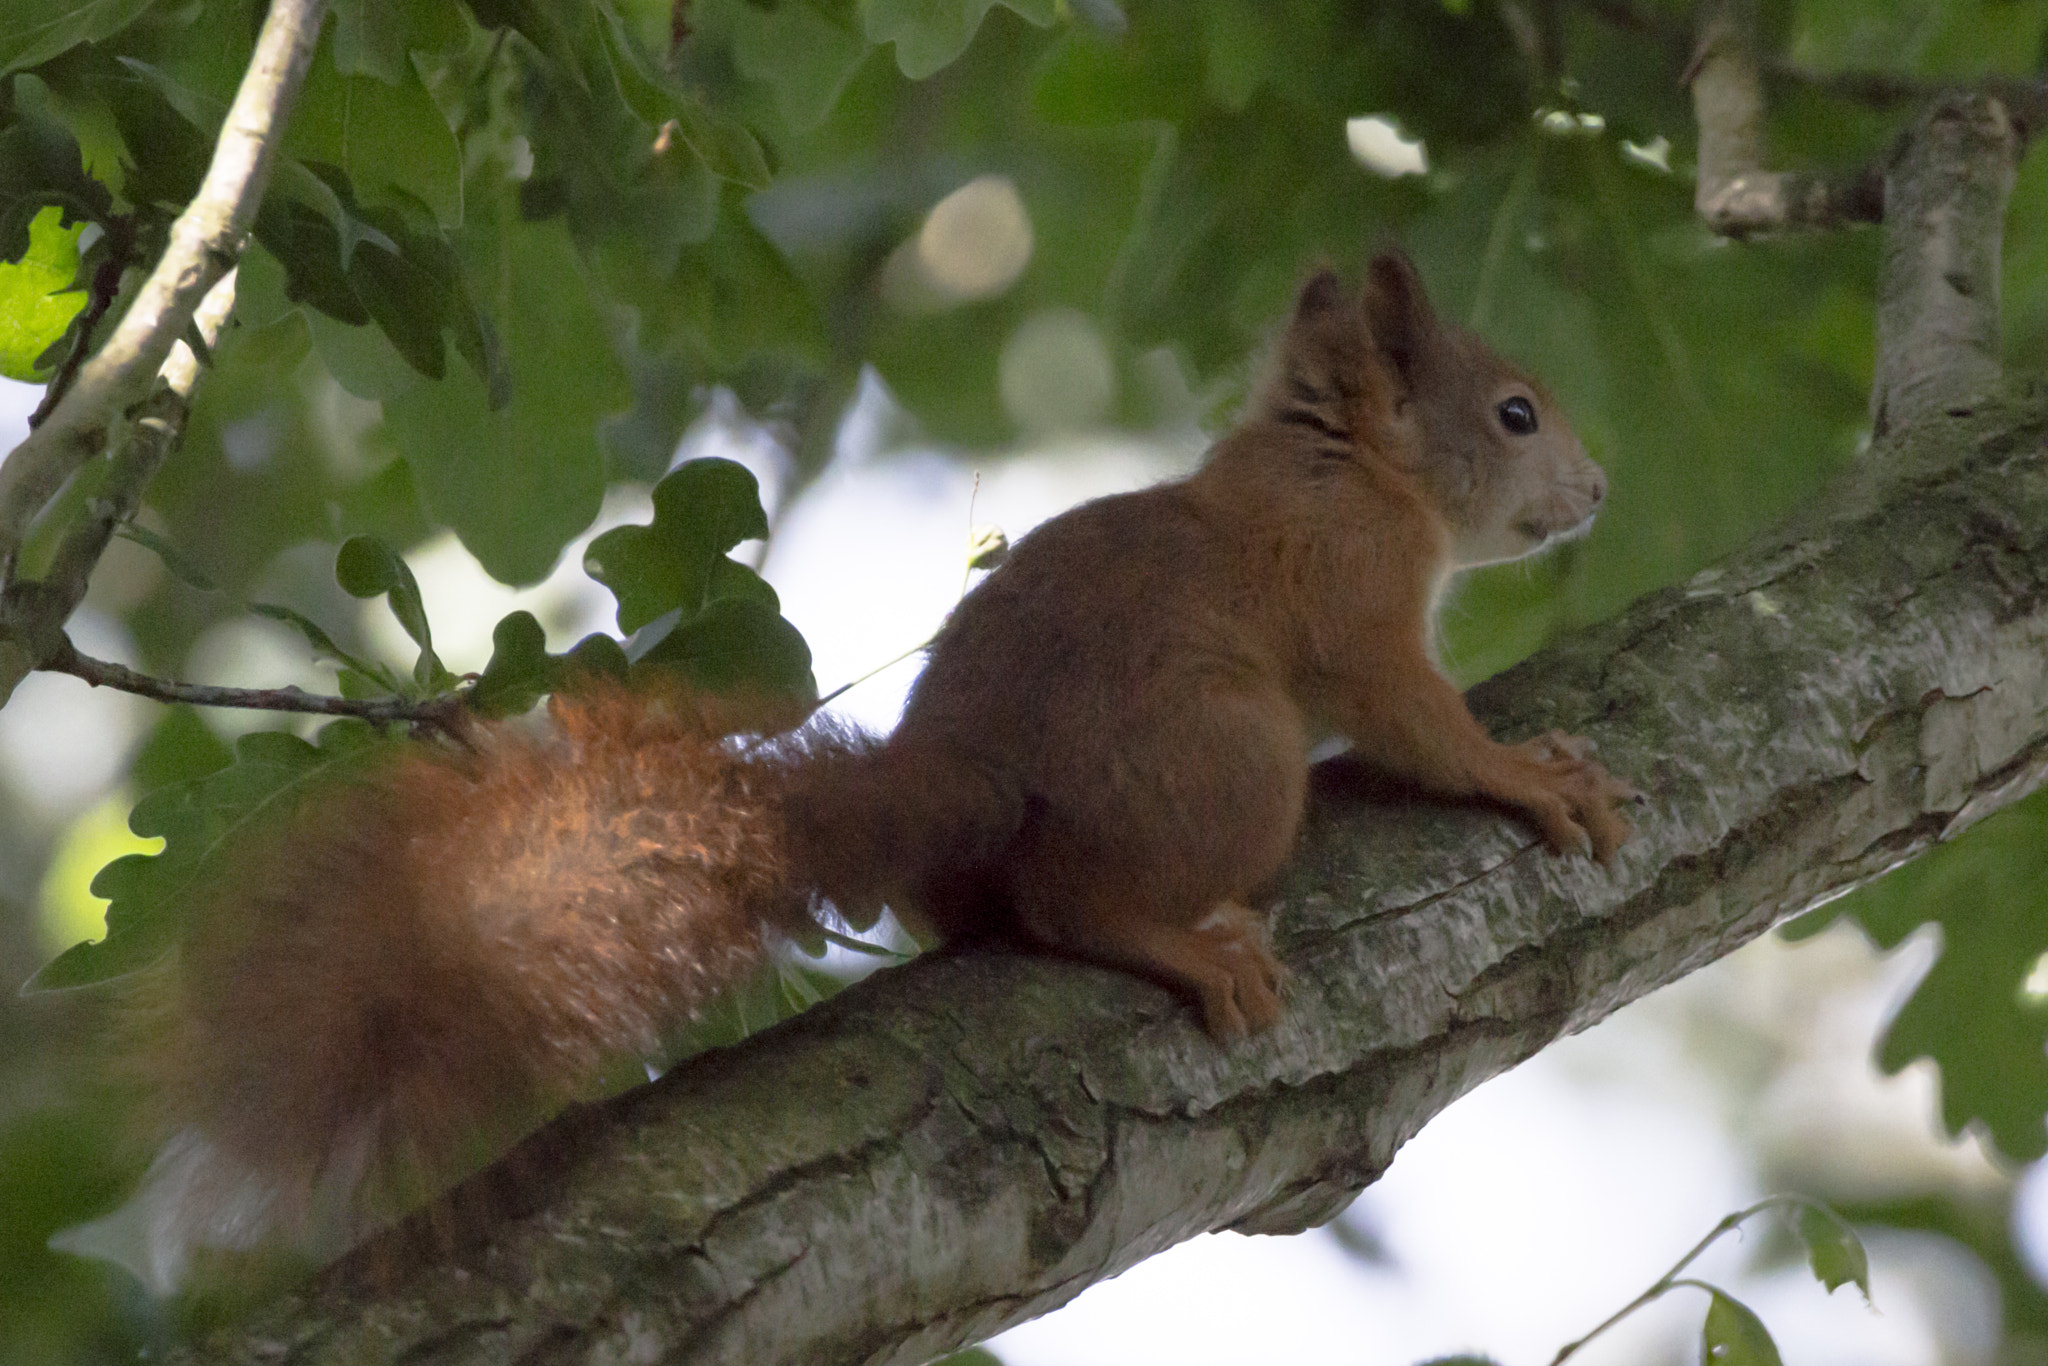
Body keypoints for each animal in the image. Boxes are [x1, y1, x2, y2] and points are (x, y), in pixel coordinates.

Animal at [96, 248, 1634, 1289]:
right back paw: (1183, 939)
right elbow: (1417, 721)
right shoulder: (1357, 602)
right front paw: (1526, 774)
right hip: (1239, 756)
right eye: (1513, 414)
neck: (1349, 466)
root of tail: (965, 778)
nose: (1602, 493)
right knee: (1070, 902)